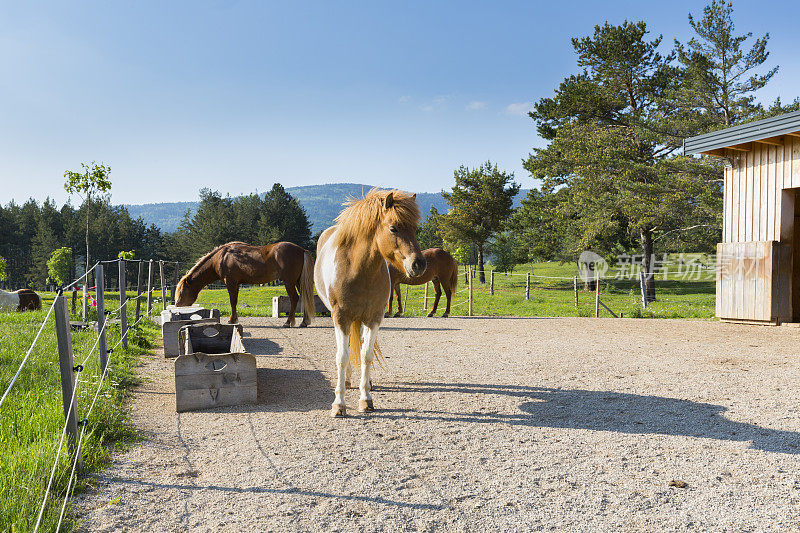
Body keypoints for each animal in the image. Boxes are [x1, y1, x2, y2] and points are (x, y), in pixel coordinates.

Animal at [175, 240, 316, 324]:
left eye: (182, 292)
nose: (177, 305)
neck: (221, 257)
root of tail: (301, 250)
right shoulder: (236, 284)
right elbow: (234, 301)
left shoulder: (231, 282)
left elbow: (233, 301)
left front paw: (232, 320)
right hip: (298, 281)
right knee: (304, 297)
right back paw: (304, 322)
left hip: (289, 281)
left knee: (294, 298)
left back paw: (289, 322)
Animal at [312, 189, 428, 418]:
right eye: (393, 228)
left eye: (415, 228)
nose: (418, 264)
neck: (357, 270)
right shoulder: (341, 318)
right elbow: (342, 357)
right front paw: (339, 404)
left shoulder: (374, 318)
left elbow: (366, 355)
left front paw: (366, 399)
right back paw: (348, 380)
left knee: (364, 345)